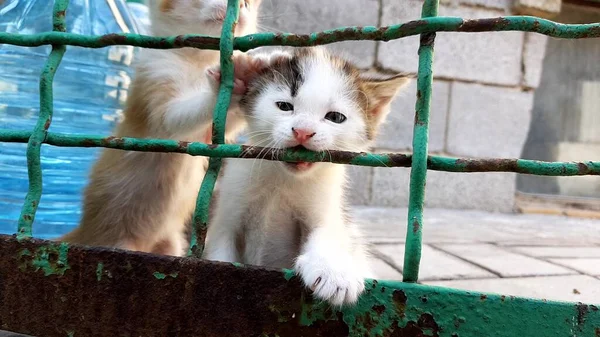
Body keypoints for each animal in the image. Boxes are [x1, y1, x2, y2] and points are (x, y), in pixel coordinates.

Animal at [60, 0, 262, 255]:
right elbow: (173, 118)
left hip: (170, 243)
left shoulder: (210, 131)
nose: (241, 6)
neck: (197, 59)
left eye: (249, 2)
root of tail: (85, 231)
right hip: (116, 237)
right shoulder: (155, 76)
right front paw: (221, 87)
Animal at [204, 48, 410, 304]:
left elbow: (326, 232)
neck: (284, 178)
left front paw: (333, 271)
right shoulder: (229, 210)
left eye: (335, 117)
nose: (303, 131)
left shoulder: (327, 206)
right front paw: (244, 70)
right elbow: (220, 251)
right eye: (284, 106)